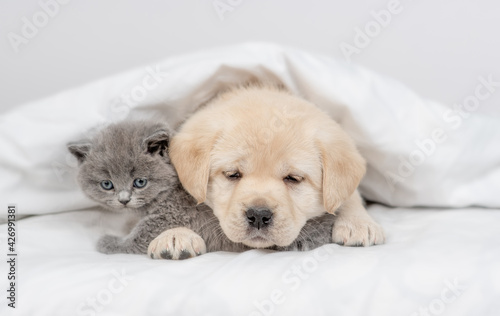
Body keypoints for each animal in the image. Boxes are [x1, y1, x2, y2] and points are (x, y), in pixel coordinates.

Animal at [65, 120, 336, 260]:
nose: (123, 200)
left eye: (140, 182)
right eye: (107, 184)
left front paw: (109, 243)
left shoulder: (170, 216)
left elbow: (139, 238)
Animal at [170, 85, 384, 248]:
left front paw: (357, 223)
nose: (258, 215)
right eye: (232, 174)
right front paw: (176, 234)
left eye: (293, 178)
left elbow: (349, 195)